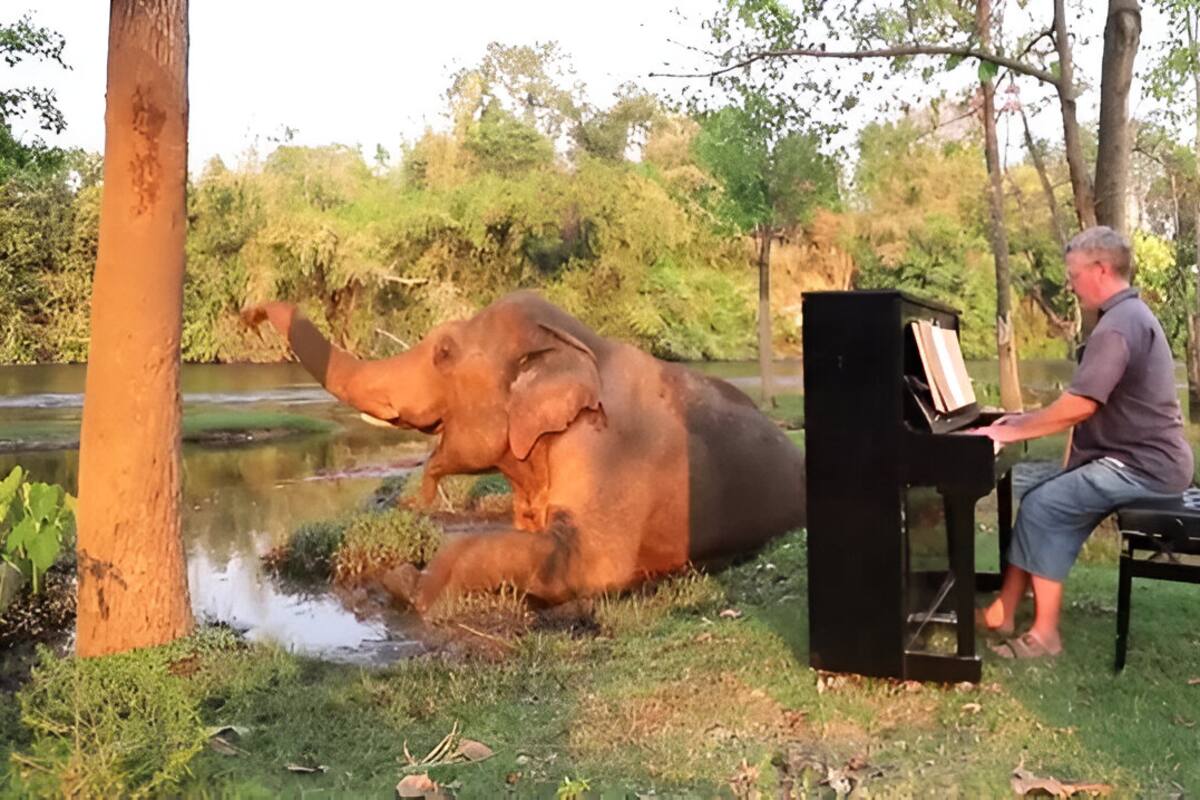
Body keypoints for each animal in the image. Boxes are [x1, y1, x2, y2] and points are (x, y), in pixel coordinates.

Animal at [243, 291, 805, 612]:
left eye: (444, 351)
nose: (249, 312)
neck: (583, 346)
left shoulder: (611, 454)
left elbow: (589, 568)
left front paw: (402, 584)